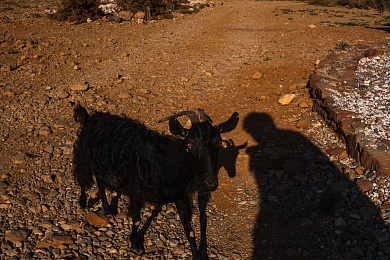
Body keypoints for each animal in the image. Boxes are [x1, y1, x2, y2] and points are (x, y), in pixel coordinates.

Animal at [72, 104, 238, 258]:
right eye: (189, 145)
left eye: (218, 143)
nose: (211, 182)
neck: (166, 162)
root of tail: (91, 118)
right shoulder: (136, 193)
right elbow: (137, 219)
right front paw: (136, 243)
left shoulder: (180, 196)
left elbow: (189, 229)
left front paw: (197, 254)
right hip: (83, 157)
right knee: (82, 178)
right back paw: (82, 202)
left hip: (101, 165)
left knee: (100, 182)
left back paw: (107, 209)